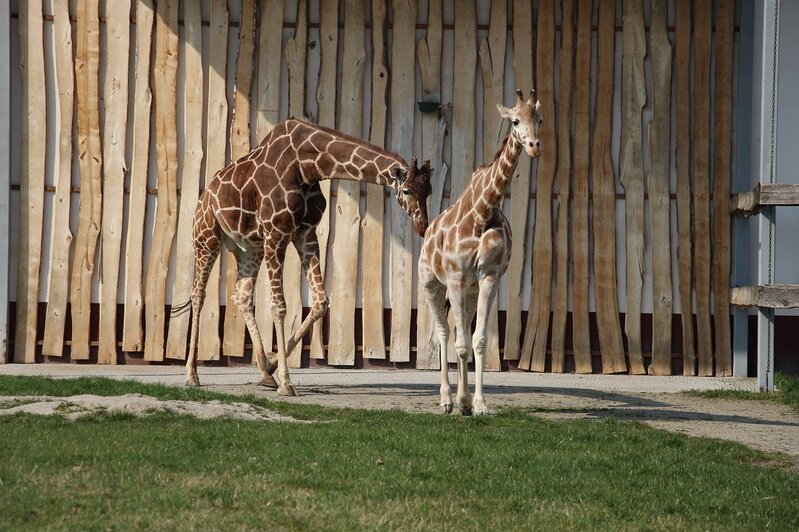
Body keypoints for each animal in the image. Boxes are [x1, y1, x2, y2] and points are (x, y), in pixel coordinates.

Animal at [183, 119, 432, 394]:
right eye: (407, 190)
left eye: (429, 191)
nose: (422, 226)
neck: (308, 166)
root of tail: (204, 194)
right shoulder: (276, 233)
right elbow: (279, 307)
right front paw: (286, 382)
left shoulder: (305, 232)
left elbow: (321, 302)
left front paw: (273, 364)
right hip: (206, 238)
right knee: (198, 295)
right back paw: (192, 375)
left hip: (250, 248)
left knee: (242, 296)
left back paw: (265, 373)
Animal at [418, 90, 544, 416]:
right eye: (515, 121)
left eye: (538, 119)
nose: (534, 147)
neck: (483, 212)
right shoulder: (456, 278)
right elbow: (460, 344)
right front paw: (460, 401)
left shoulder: (489, 277)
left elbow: (479, 342)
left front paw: (477, 405)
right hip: (432, 283)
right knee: (444, 333)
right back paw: (446, 400)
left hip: (470, 291)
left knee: (457, 331)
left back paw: (459, 402)